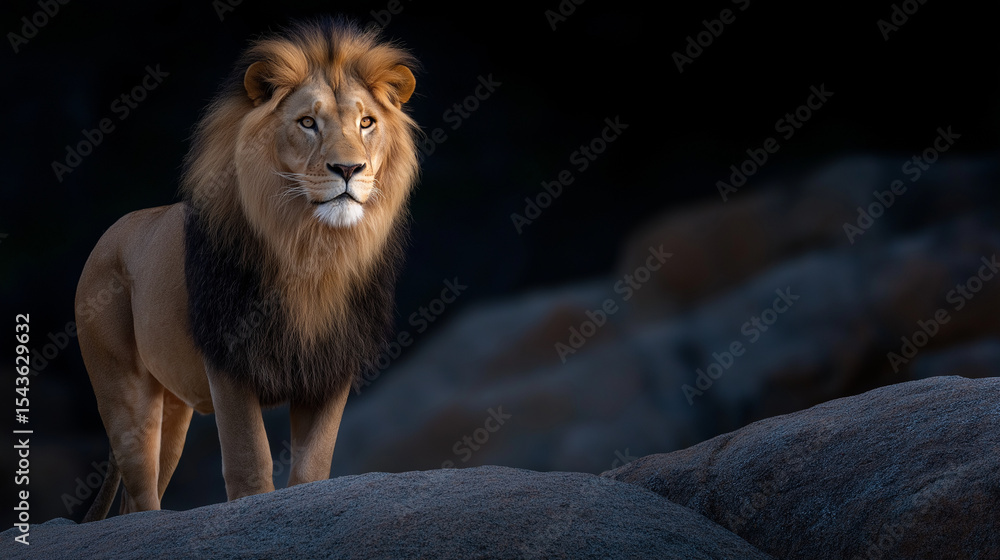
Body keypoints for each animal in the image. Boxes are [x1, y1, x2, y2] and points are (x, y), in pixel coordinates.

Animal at [75, 18, 419, 521]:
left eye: (366, 122)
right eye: (308, 122)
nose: (349, 168)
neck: (312, 251)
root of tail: (107, 237)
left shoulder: (331, 367)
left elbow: (313, 466)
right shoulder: (228, 360)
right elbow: (249, 461)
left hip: (174, 405)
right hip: (123, 391)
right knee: (140, 492)